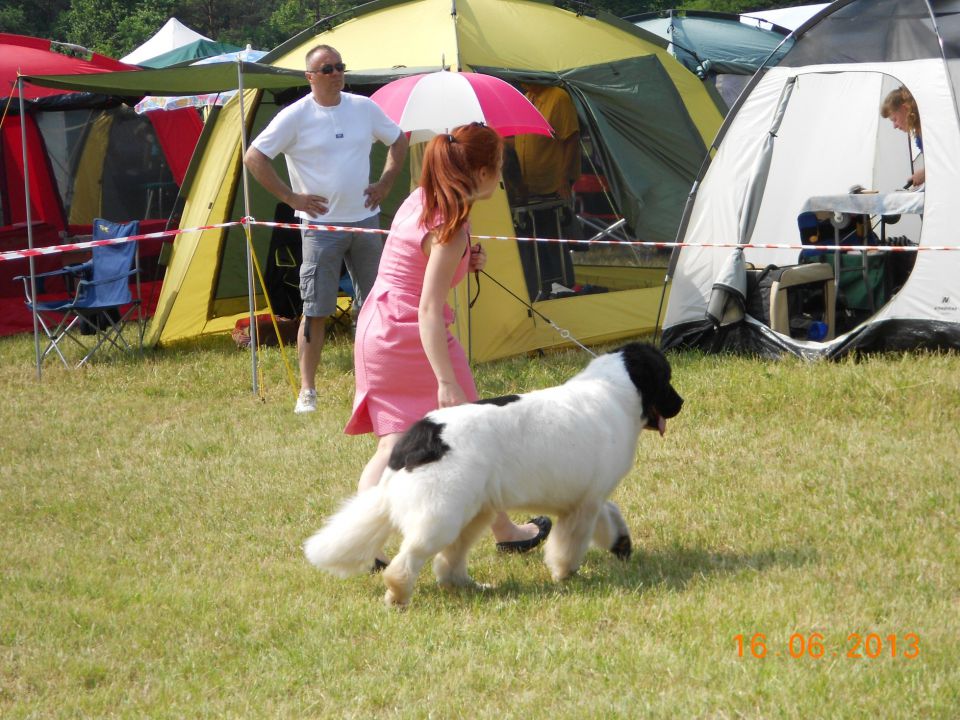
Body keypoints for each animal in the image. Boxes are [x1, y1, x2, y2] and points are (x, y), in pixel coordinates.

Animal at [304, 344, 688, 608]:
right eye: (666, 378)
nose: (681, 403)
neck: (618, 391)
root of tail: (419, 437)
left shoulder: (589, 497)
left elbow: (611, 516)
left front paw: (621, 544)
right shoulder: (583, 505)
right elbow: (571, 542)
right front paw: (565, 573)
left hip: (475, 511)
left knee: (449, 559)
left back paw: (467, 586)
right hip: (441, 514)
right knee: (410, 558)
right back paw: (398, 596)